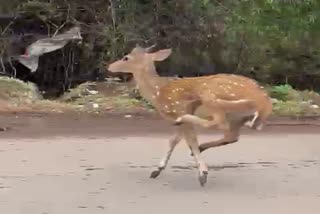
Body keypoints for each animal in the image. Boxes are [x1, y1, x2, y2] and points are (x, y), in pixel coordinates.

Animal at [106, 44, 272, 186]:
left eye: (126, 57)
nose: (109, 66)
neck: (158, 92)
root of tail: (264, 102)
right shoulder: (176, 117)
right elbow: (173, 140)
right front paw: (157, 170)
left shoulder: (178, 109)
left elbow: (189, 139)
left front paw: (203, 173)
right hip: (237, 117)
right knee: (231, 136)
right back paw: (202, 147)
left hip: (213, 98)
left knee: (219, 123)